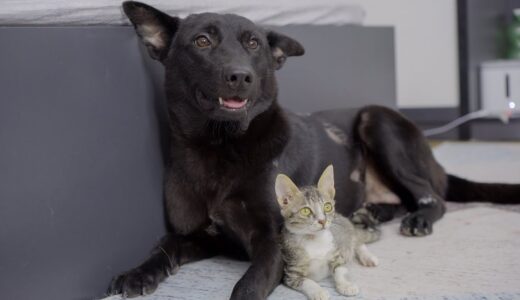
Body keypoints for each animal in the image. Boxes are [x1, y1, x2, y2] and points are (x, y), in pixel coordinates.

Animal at [274, 165, 380, 298]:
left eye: (327, 207)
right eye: (305, 211)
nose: (322, 221)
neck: (314, 240)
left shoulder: (336, 254)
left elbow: (340, 270)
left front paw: (346, 285)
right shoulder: (291, 274)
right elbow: (306, 281)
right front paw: (319, 292)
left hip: (347, 235)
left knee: (357, 241)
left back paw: (368, 257)